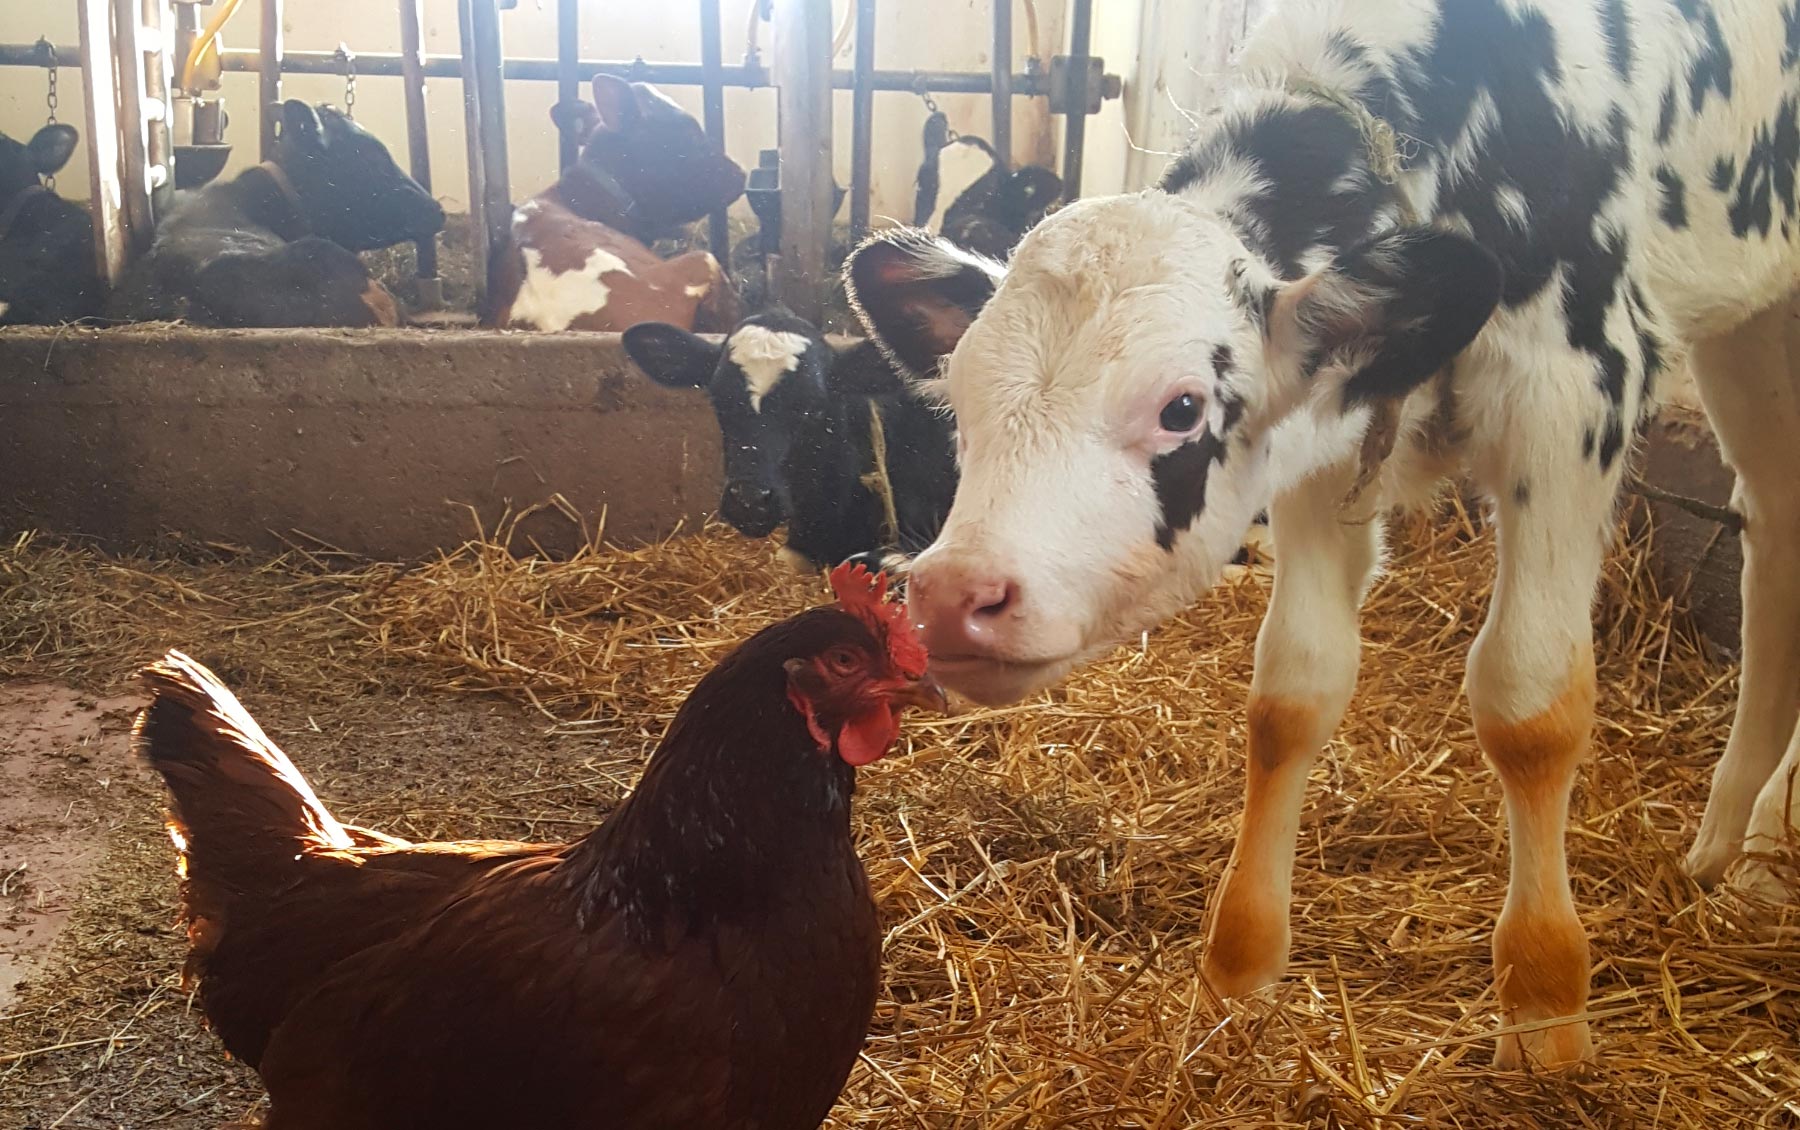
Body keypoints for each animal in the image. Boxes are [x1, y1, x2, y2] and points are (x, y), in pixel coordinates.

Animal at [845, 0, 1800, 1071]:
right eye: (960, 406)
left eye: (1182, 408)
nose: (952, 595)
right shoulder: (1320, 439)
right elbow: (1293, 691)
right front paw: (1239, 967)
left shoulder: (1575, 390)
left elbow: (1531, 700)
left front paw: (1547, 1002)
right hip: (1753, 330)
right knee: (1778, 533)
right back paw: (1730, 842)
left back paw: (1768, 845)